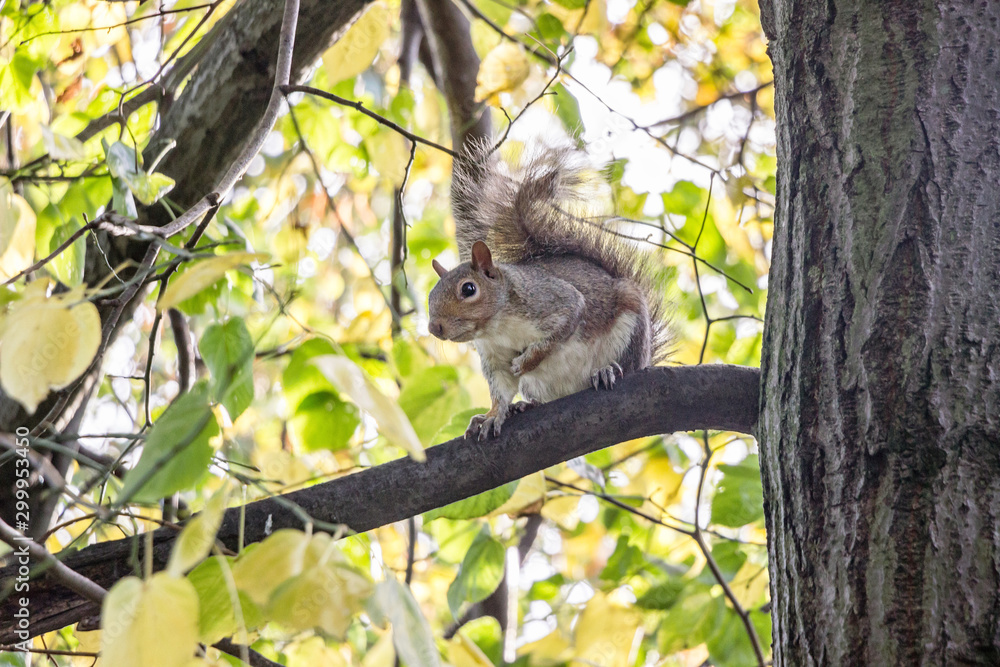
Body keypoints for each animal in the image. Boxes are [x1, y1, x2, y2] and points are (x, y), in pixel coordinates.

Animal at [428, 142, 671, 440]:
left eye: (469, 289)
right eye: (430, 296)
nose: (434, 327)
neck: (497, 328)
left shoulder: (551, 300)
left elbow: (560, 329)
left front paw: (526, 361)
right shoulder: (494, 356)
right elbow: (501, 389)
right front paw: (492, 416)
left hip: (631, 323)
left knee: (628, 363)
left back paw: (607, 370)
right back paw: (525, 407)